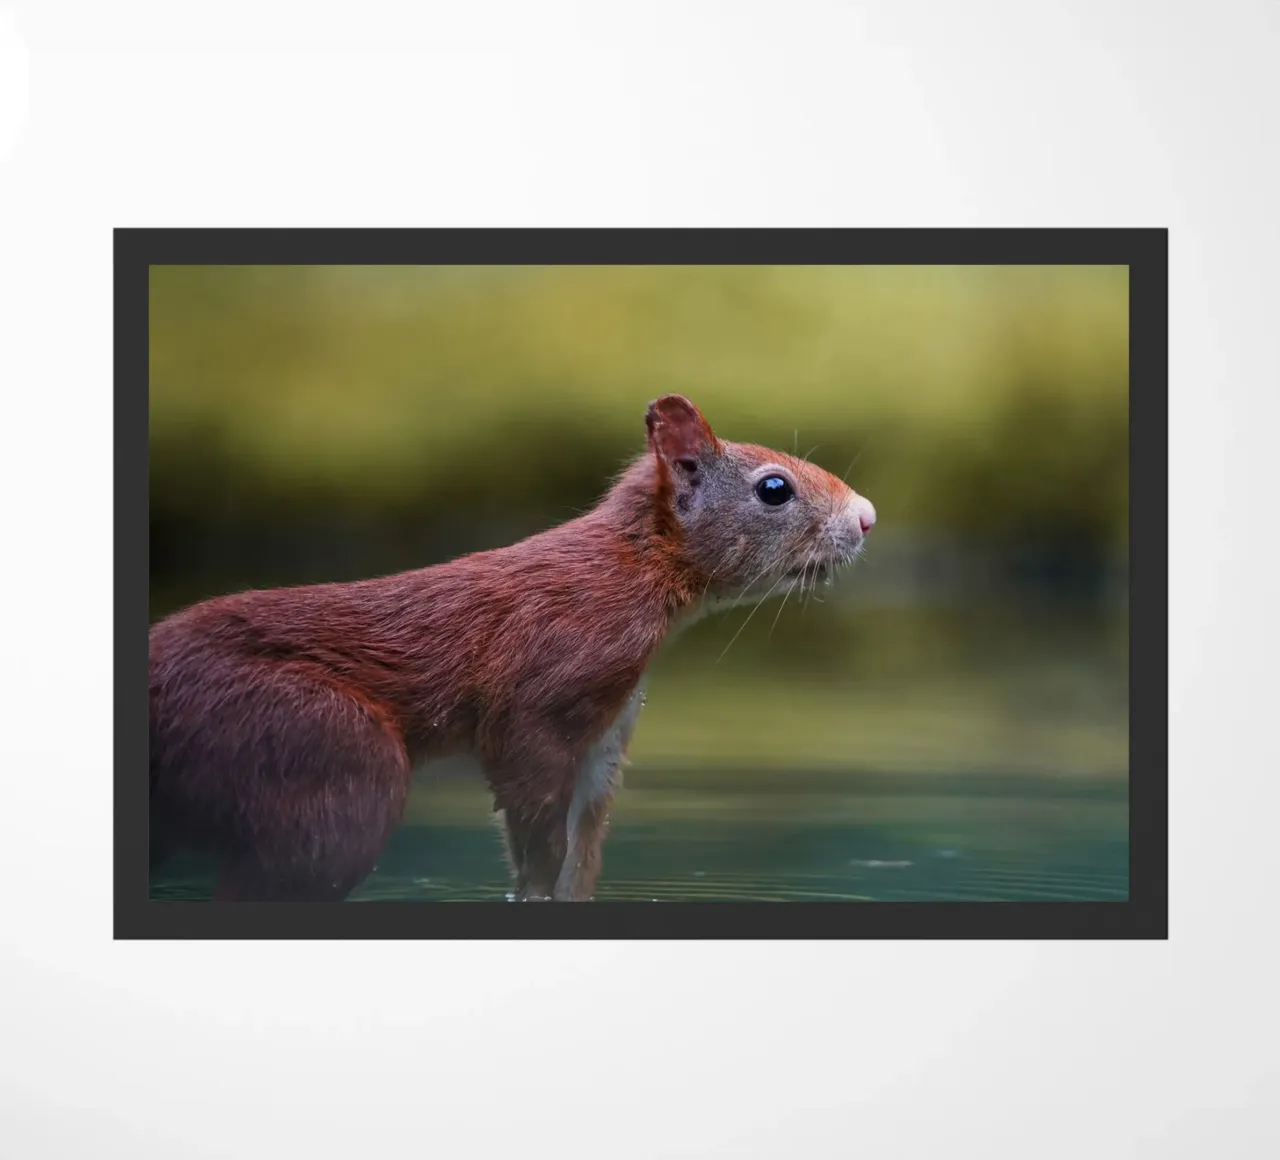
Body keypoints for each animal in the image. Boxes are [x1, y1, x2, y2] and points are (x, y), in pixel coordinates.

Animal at [148, 395, 876, 902]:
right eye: (774, 488)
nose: (867, 517)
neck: (631, 573)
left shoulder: (607, 732)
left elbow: (583, 846)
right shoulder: (545, 689)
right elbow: (535, 825)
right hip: (319, 749)